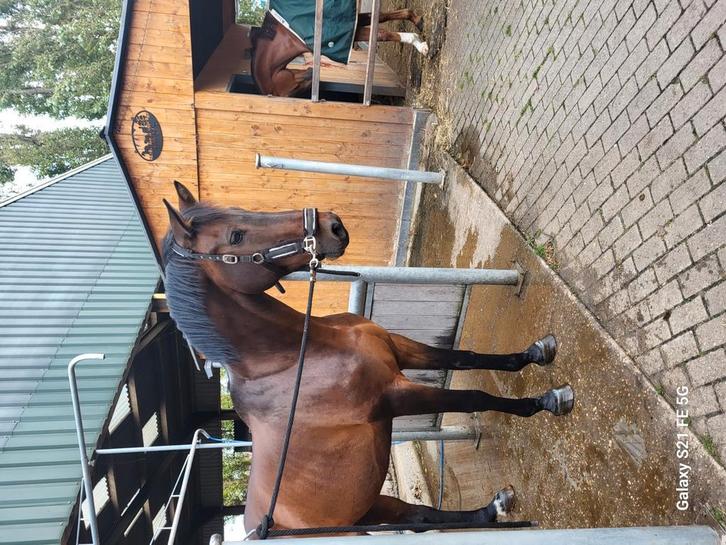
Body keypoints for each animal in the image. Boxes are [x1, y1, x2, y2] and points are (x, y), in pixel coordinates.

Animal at [162, 181, 575, 538]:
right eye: (236, 236)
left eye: (240, 209)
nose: (332, 225)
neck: (300, 353)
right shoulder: (394, 397)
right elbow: (475, 397)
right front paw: (548, 401)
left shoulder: (398, 348)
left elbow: (463, 357)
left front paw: (536, 354)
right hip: (356, 523)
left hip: (369, 504)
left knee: (420, 516)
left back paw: (494, 508)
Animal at [249, 2, 429, 97]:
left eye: (293, 89)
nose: (312, 72)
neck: (287, 33)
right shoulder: (350, 25)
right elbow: (381, 17)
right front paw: (418, 22)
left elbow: (382, 32)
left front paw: (420, 44)